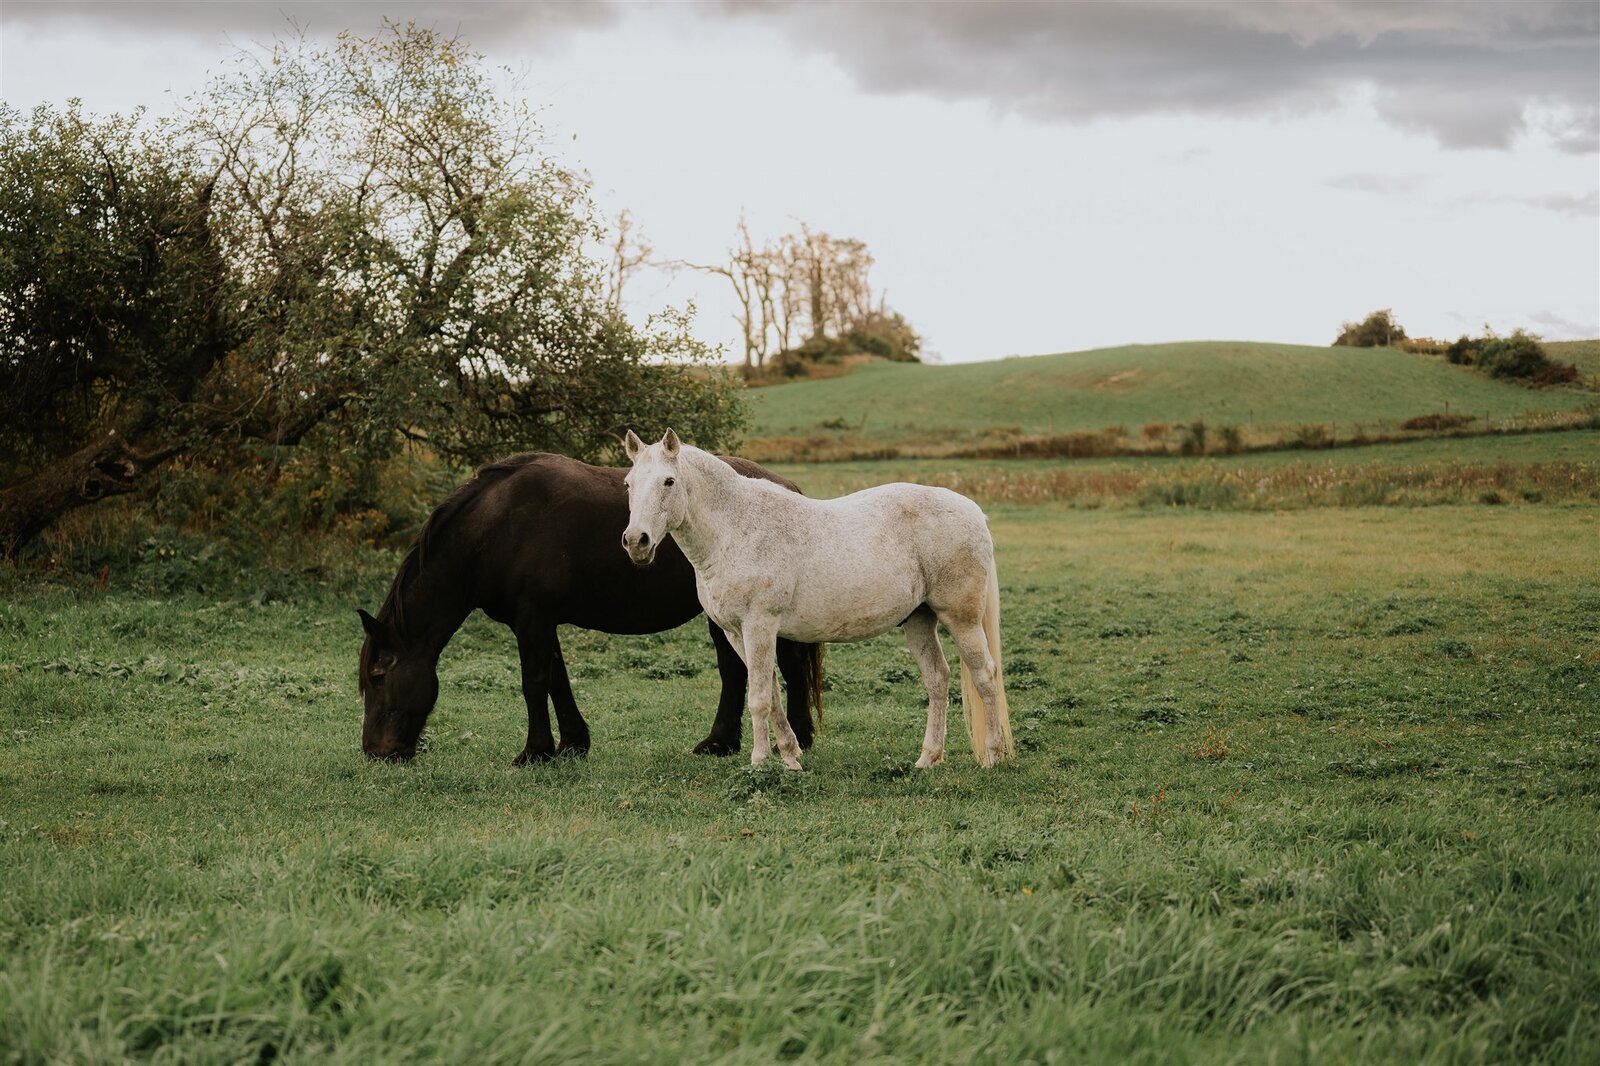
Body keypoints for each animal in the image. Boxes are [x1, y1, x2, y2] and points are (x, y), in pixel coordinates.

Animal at [360, 448, 825, 765]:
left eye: (379, 676)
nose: (375, 752)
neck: (495, 528)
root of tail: (790, 490)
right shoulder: (541, 621)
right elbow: (556, 680)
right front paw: (571, 744)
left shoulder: (531, 619)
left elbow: (534, 683)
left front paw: (535, 752)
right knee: (737, 672)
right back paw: (720, 743)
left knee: (788, 670)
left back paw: (796, 737)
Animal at [620, 428, 1011, 768]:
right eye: (628, 484)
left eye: (668, 482)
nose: (636, 541)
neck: (736, 528)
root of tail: (973, 510)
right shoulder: (736, 632)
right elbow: (772, 692)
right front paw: (790, 757)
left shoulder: (759, 625)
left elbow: (758, 698)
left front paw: (759, 762)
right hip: (919, 620)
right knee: (937, 679)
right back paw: (927, 759)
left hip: (960, 618)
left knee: (985, 675)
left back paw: (993, 756)